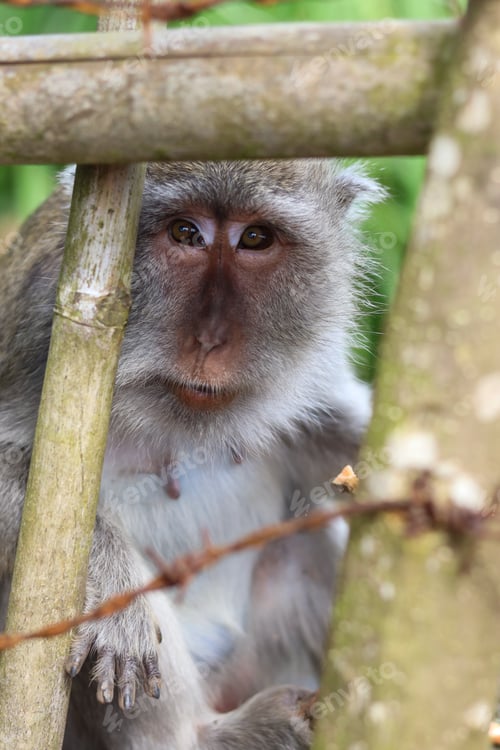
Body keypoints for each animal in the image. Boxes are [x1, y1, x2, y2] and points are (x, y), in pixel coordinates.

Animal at [0, 160, 383, 749]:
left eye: (256, 238)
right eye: (185, 232)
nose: (210, 338)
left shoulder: (315, 366)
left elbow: (340, 437)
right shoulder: (38, 328)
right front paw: (113, 583)